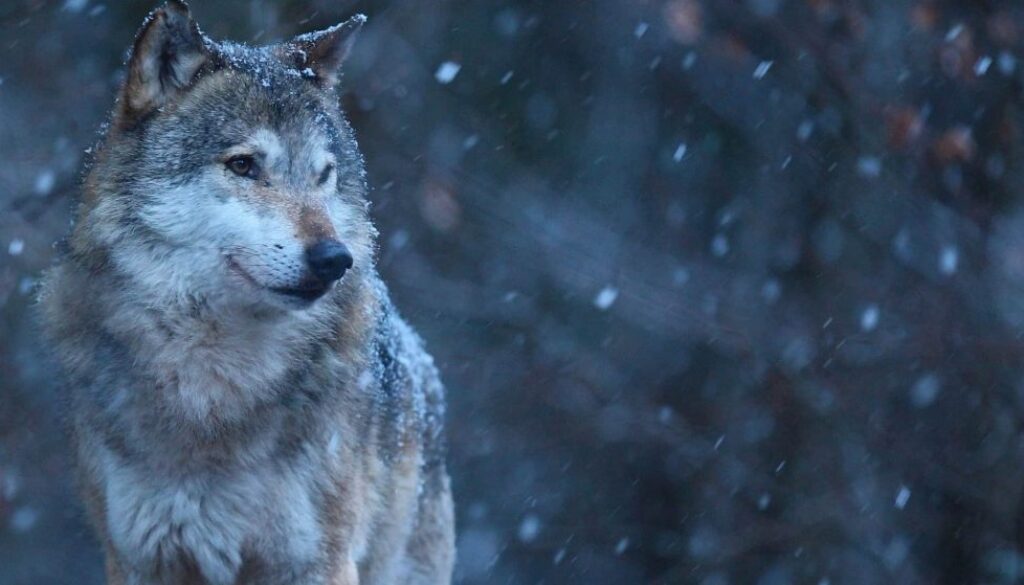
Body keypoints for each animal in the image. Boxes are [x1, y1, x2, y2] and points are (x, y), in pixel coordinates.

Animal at [37, 2, 454, 583]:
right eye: (243, 165)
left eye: (323, 175)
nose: (334, 260)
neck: (214, 385)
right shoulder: (140, 558)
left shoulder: (317, 561)